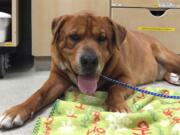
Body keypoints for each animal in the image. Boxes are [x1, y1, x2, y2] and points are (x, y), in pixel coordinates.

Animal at [1, 12, 180, 129]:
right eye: (74, 37)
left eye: (102, 38)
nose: (89, 60)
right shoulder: (57, 79)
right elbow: (38, 94)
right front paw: (15, 112)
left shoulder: (126, 78)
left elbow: (115, 88)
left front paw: (117, 107)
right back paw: (173, 77)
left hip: (166, 55)